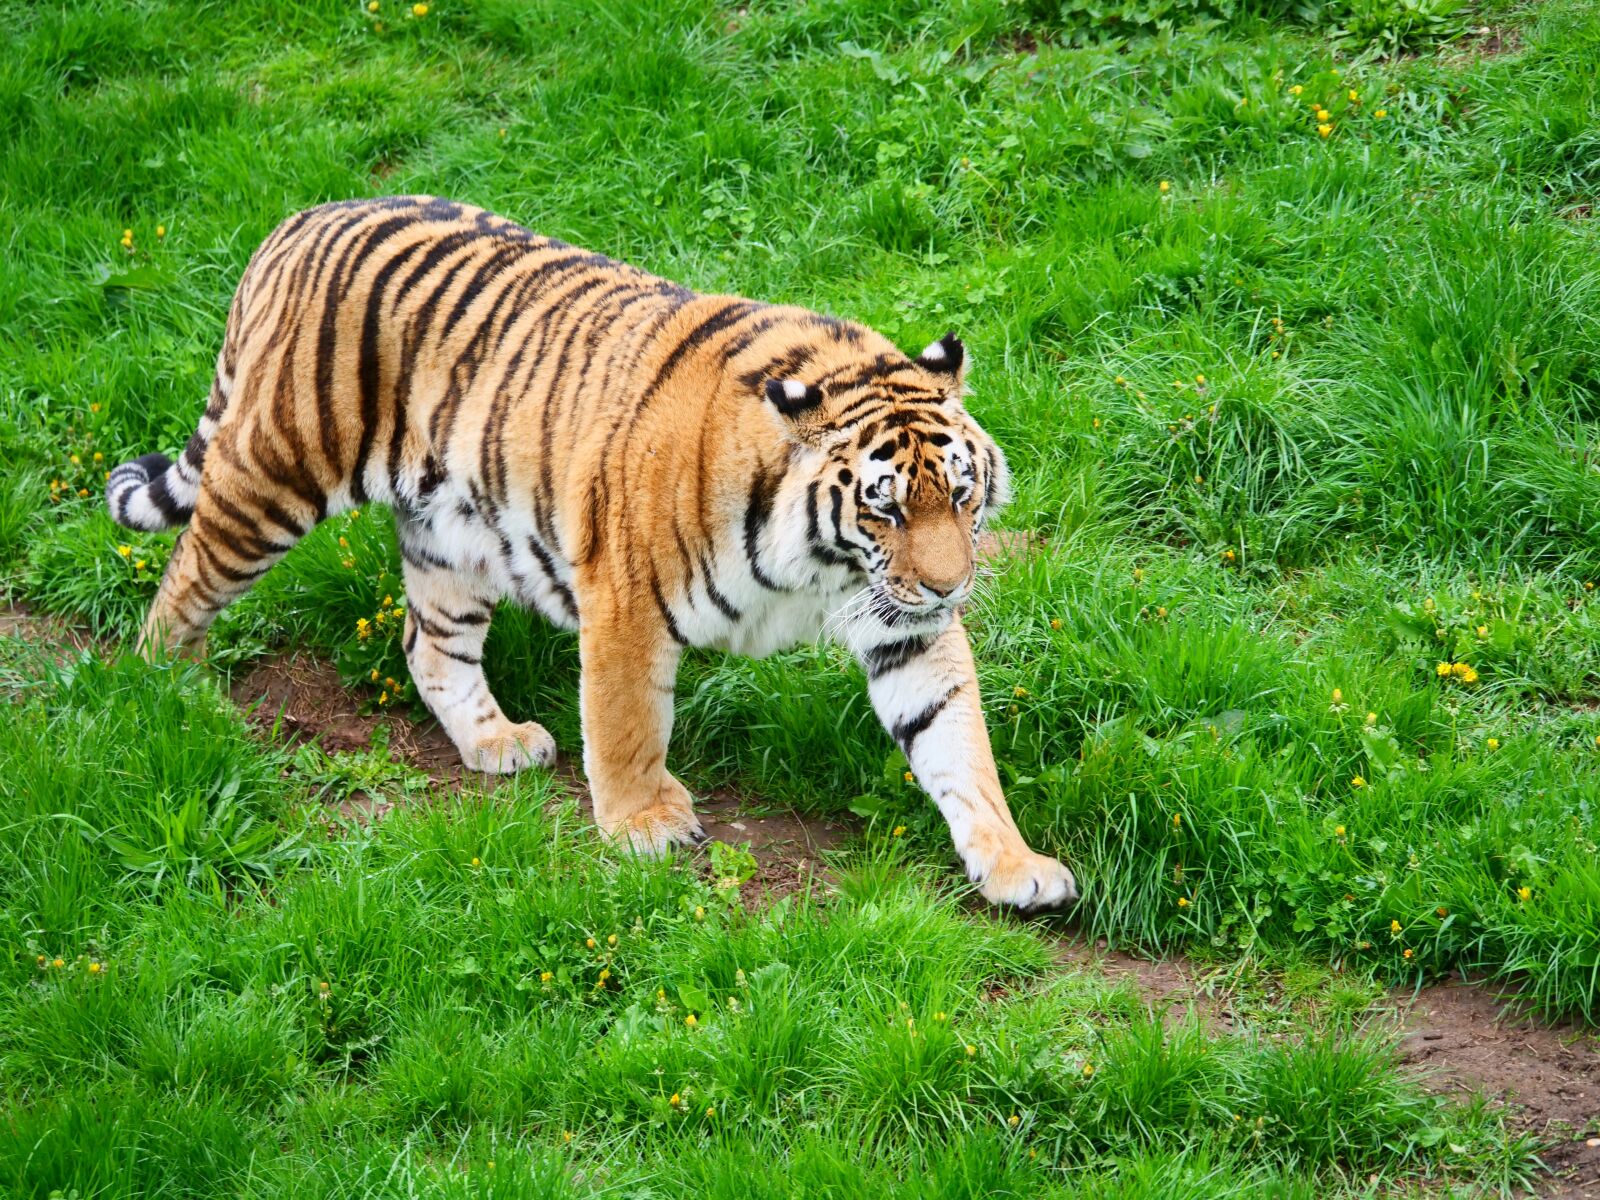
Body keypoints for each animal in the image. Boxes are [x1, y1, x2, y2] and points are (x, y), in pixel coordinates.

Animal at [107, 196, 1078, 911]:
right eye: (884, 509)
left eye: (961, 496)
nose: (950, 587)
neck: (825, 564)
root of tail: (301, 217)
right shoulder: (627, 597)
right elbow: (627, 722)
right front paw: (643, 823)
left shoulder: (902, 627)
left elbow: (958, 743)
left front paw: (1014, 863)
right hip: (273, 476)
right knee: (184, 581)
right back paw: (169, 690)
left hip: (452, 536)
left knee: (428, 645)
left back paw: (495, 741)